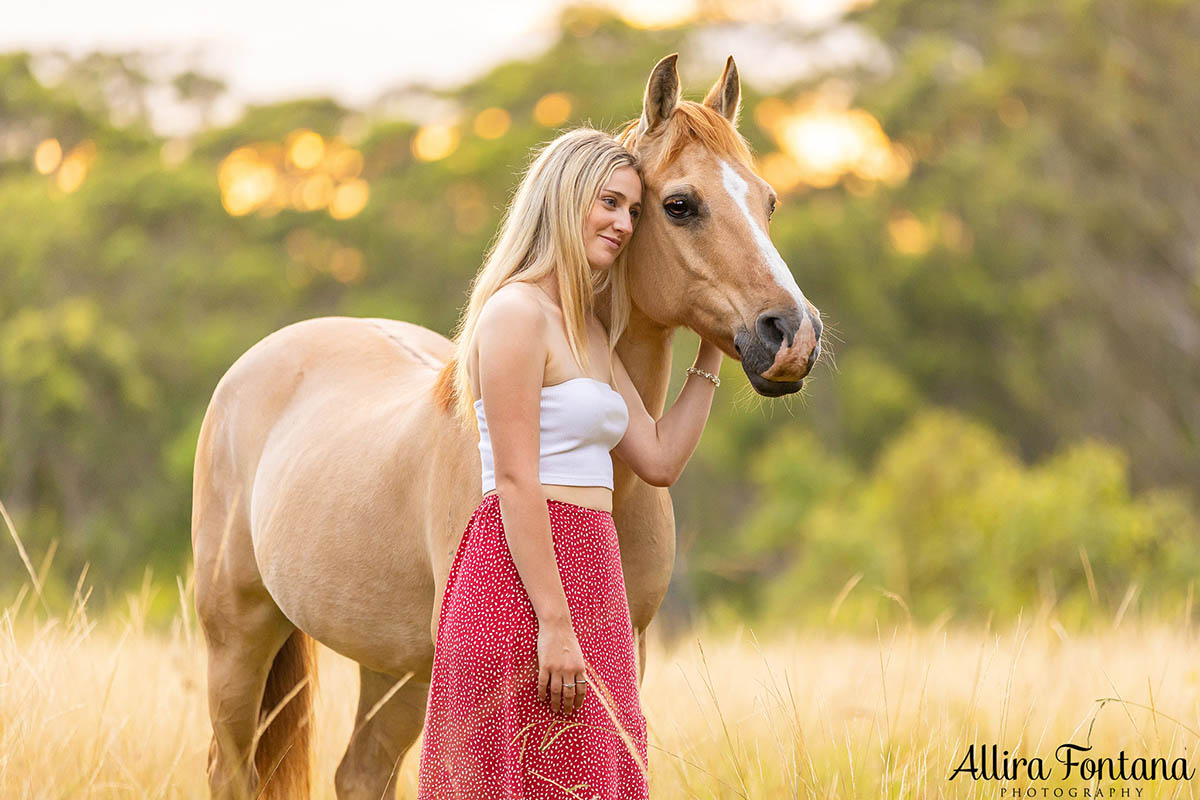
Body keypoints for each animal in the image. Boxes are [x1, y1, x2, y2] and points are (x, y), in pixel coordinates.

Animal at [192, 53, 820, 796]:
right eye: (679, 205)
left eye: (768, 201)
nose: (792, 334)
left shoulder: (629, 658)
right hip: (239, 638)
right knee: (233, 769)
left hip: (392, 666)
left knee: (361, 770)